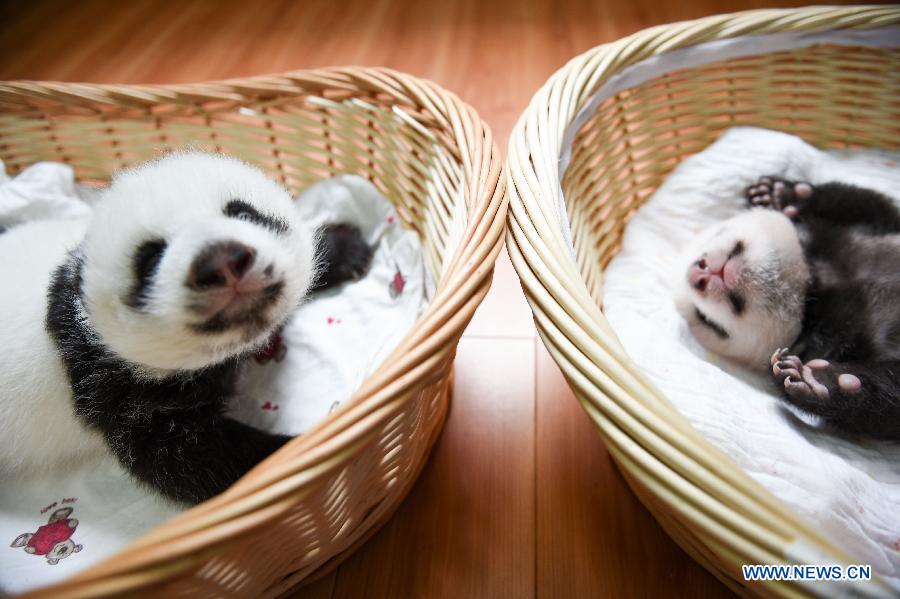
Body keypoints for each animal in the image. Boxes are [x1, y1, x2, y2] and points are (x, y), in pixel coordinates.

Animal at [0, 152, 372, 504]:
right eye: (150, 259)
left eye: (244, 214)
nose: (222, 261)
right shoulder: (112, 387)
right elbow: (185, 460)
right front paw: (297, 450)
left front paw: (347, 248)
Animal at [674, 176, 900, 441]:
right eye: (705, 319)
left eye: (718, 233)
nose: (699, 272)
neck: (810, 287)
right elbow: (888, 408)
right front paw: (821, 384)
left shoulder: (869, 229)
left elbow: (862, 202)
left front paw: (778, 194)